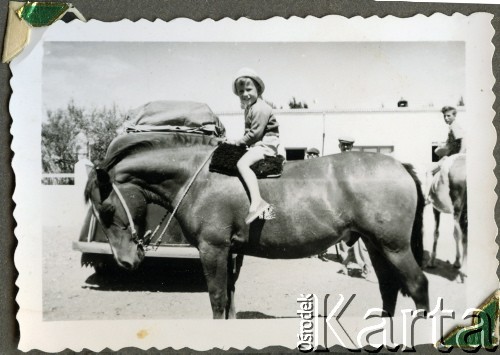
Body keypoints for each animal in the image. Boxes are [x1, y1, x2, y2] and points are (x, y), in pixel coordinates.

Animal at [85, 132, 430, 318]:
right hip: (375, 245)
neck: (199, 177)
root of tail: (400, 166)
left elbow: (217, 300)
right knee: (388, 288)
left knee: (418, 286)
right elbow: (229, 301)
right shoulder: (229, 252)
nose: (126, 261)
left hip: (395, 247)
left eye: (107, 209)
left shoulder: (213, 250)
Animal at [428, 154, 466, 282]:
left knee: (464, 235)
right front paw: (457, 262)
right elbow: (455, 234)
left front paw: (431, 261)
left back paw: (463, 272)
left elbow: (436, 233)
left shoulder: (436, 209)